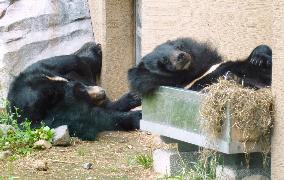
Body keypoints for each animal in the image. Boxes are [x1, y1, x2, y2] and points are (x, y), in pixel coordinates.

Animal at [8, 41, 141, 141]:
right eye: (82, 92)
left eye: (81, 87)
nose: (102, 92)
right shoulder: (57, 119)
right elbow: (96, 118)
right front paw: (136, 116)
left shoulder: (41, 70)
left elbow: (73, 62)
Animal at [127, 37, 272, 94]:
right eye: (164, 61)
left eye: (179, 47)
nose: (181, 56)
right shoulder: (191, 85)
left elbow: (252, 58)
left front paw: (258, 58)